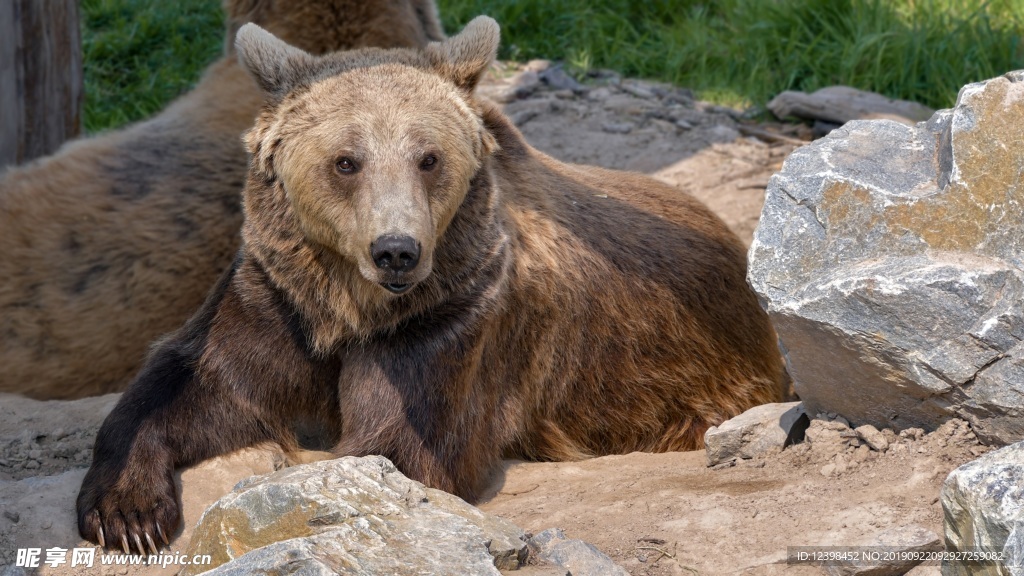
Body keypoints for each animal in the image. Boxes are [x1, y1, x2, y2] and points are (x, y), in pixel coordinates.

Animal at [76, 17, 785, 554]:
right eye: (347, 161)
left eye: (428, 157)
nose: (397, 251)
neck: (349, 308)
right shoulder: (278, 298)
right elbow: (201, 379)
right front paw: (126, 512)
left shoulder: (452, 319)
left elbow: (395, 448)